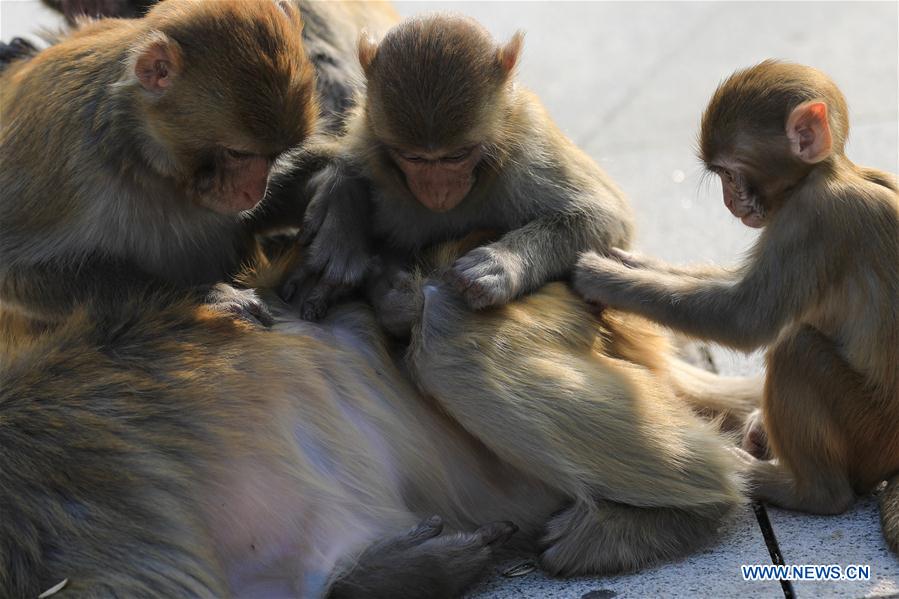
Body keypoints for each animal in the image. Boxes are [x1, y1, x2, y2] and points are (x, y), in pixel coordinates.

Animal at [286, 14, 632, 322]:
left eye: (456, 156)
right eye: (413, 158)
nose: (438, 191)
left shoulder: (530, 143)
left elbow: (606, 218)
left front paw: (502, 264)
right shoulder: (368, 138)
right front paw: (342, 222)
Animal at [576, 61, 899, 552]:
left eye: (730, 173)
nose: (731, 202)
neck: (831, 173)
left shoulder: (812, 219)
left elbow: (746, 319)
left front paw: (605, 279)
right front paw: (634, 264)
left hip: (869, 435)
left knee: (796, 348)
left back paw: (808, 491)